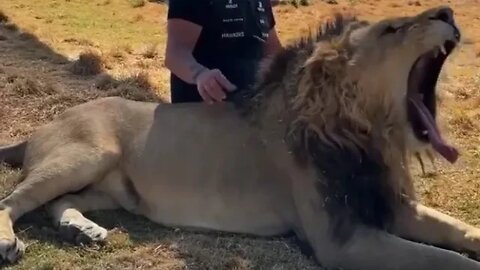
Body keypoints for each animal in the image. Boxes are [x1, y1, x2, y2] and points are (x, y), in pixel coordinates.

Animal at [0, 4, 478, 270]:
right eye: (392, 30)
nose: (448, 13)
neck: (368, 139)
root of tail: (43, 125)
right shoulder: (339, 240)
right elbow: (444, 260)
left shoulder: (390, 206)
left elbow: (460, 231)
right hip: (88, 154)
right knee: (12, 201)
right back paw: (10, 241)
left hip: (112, 191)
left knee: (59, 203)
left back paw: (84, 230)